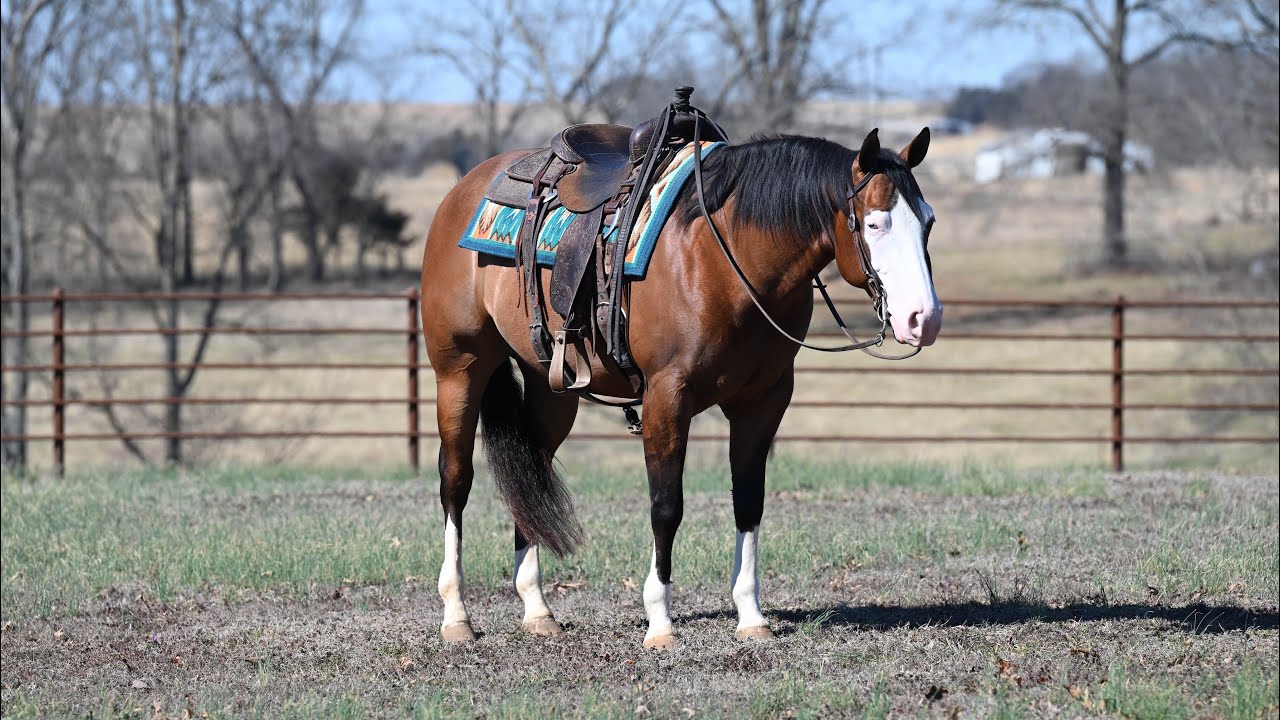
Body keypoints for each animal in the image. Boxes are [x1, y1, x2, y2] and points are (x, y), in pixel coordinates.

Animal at [419, 125, 942, 649]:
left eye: (929, 222)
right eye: (874, 224)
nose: (924, 319)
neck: (725, 256)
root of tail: (463, 191)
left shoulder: (764, 402)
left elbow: (748, 501)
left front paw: (751, 616)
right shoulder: (667, 397)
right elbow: (666, 505)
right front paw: (660, 622)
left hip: (550, 388)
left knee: (532, 469)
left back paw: (537, 608)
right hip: (459, 371)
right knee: (455, 479)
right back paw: (456, 614)